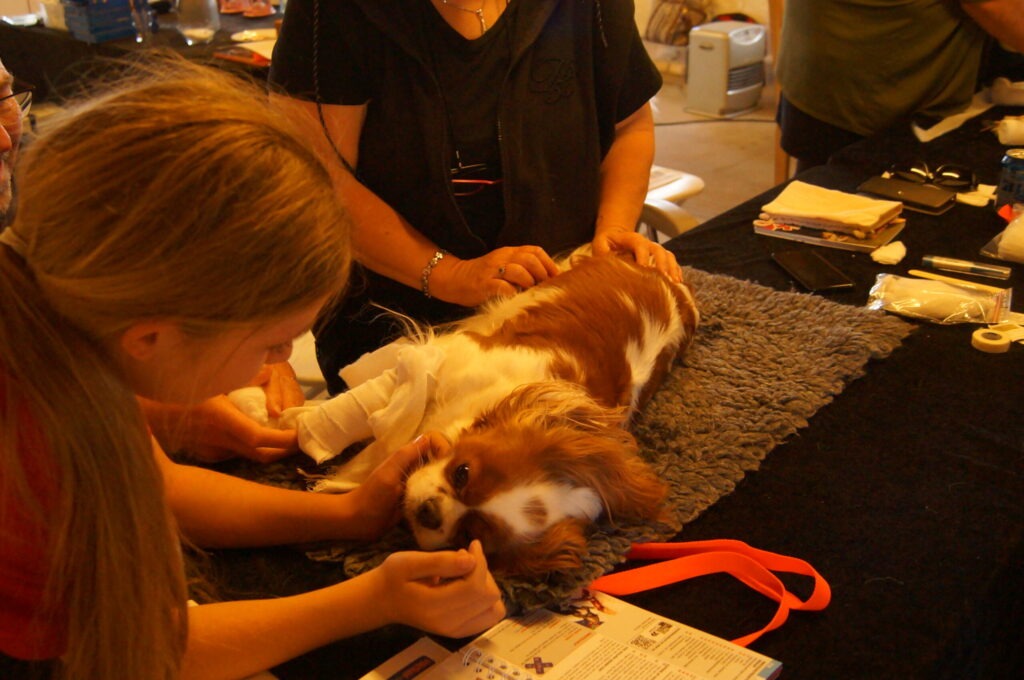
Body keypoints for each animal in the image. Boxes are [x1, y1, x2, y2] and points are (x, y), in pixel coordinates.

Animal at [289, 252, 699, 576]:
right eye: (463, 472)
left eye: (471, 534)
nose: (430, 513)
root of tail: (674, 286)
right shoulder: (445, 359)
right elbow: (356, 420)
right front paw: (297, 421)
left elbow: (372, 455)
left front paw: (334, 480)